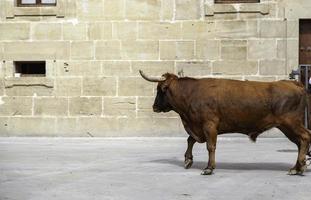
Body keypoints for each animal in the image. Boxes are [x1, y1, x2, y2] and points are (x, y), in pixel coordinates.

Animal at [140, 70, 311, 175]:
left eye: (160, 89)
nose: (154, 107)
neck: (190, 94)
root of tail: (293, 83)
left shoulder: (209, 125)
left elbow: (210, 146)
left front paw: (209, 168)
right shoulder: (197, 126)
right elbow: (190, 140)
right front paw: (188, 160)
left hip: (291, 122)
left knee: (305, 137)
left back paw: (300, 166)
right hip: (286, 126)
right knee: (299, 142)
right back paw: (297, 167)